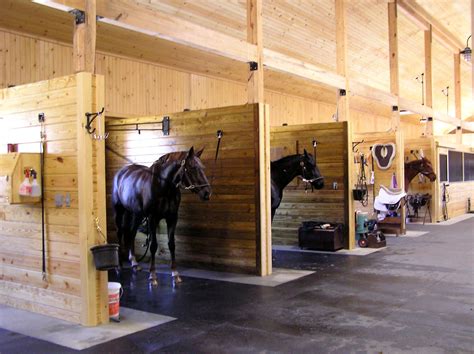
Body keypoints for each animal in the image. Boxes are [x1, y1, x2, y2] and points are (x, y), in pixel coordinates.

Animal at [112, 147, 210, 284]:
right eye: (192, 168)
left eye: (202, 167)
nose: (207, 193)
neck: (163, 186)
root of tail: (120, 173)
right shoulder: (152, 218)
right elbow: (153, 245)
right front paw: (153, 275)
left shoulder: (172, 218)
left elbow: (172, 244)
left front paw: (175, 273)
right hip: (119, 211)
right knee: (120, 232)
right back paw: (119, 265)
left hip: (137, 214)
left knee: (131, 233)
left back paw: (134, 264)